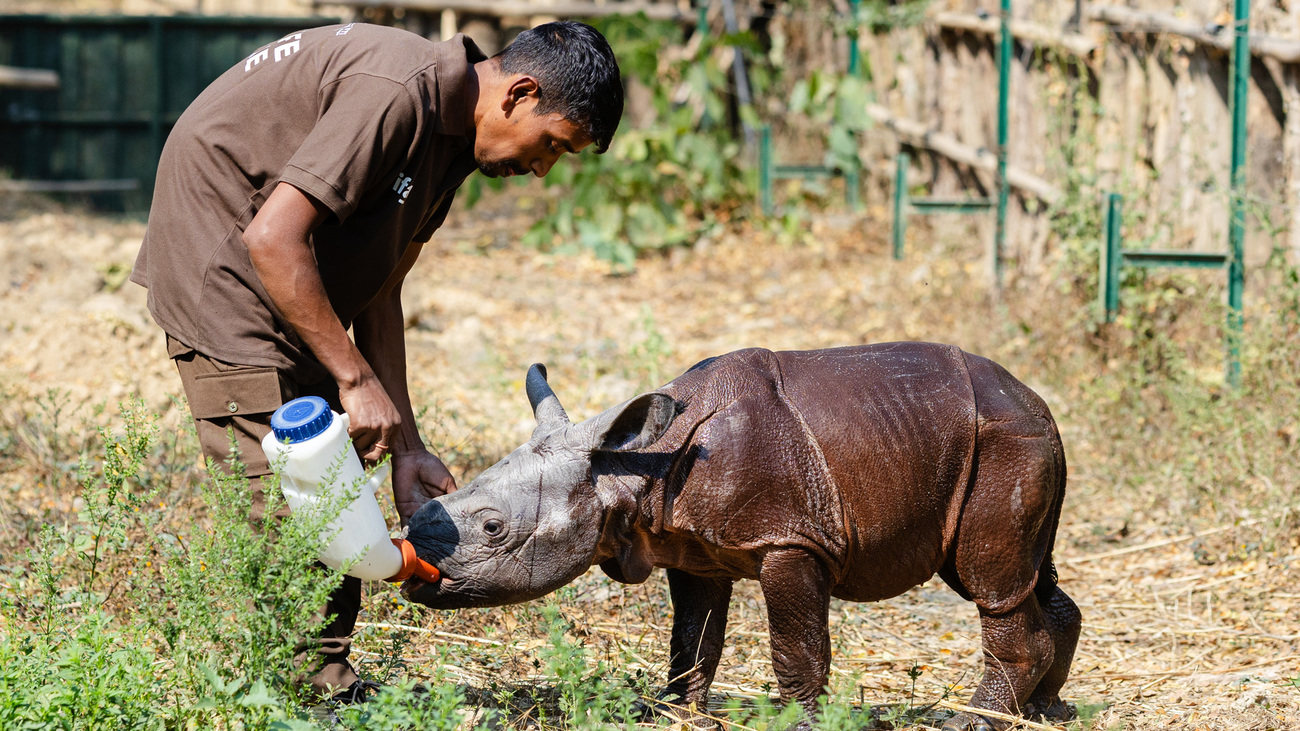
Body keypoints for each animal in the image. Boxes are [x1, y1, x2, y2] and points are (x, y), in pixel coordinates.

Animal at [401, 343, 1079, 730]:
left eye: (493, 527)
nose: (416, 566)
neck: (628, 466)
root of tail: (1040, 403)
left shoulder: (790, 540)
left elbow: (796, 646)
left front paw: (801, 722)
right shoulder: (689, 549)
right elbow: (693, 638)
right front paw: (671, 711)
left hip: (1004, 440)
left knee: (991, 583)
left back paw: (982, 721)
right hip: (999, 439)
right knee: (1027, 576)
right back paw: (1047, 710)